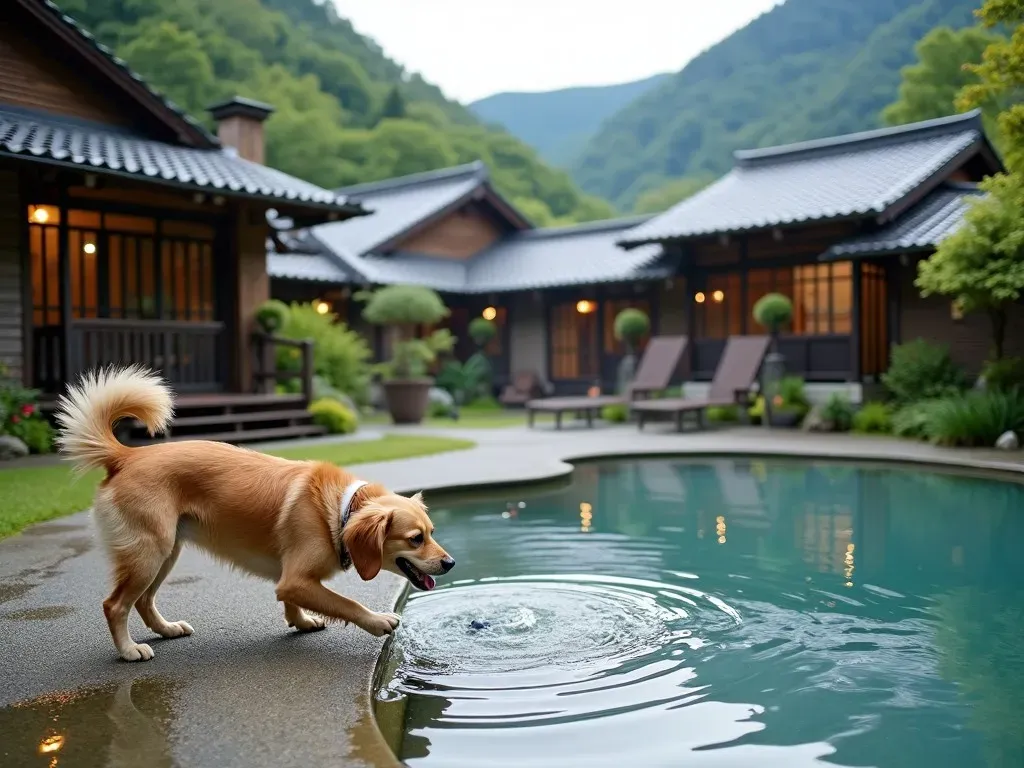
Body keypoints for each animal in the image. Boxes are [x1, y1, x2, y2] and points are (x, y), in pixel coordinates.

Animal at [54, 364, 454, 663]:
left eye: (433, 532)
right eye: (416, 539)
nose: (450, 563)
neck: (340, 509)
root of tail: (127, 455)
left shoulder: (293, 579)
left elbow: (292, 601)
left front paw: (300, 620)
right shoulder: (296, 578)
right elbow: (347, 602)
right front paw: (376, 620)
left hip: (165, 551)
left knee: (143, 601)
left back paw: (166, 629)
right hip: (149, 552)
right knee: (115, 605)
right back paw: (128, 650)